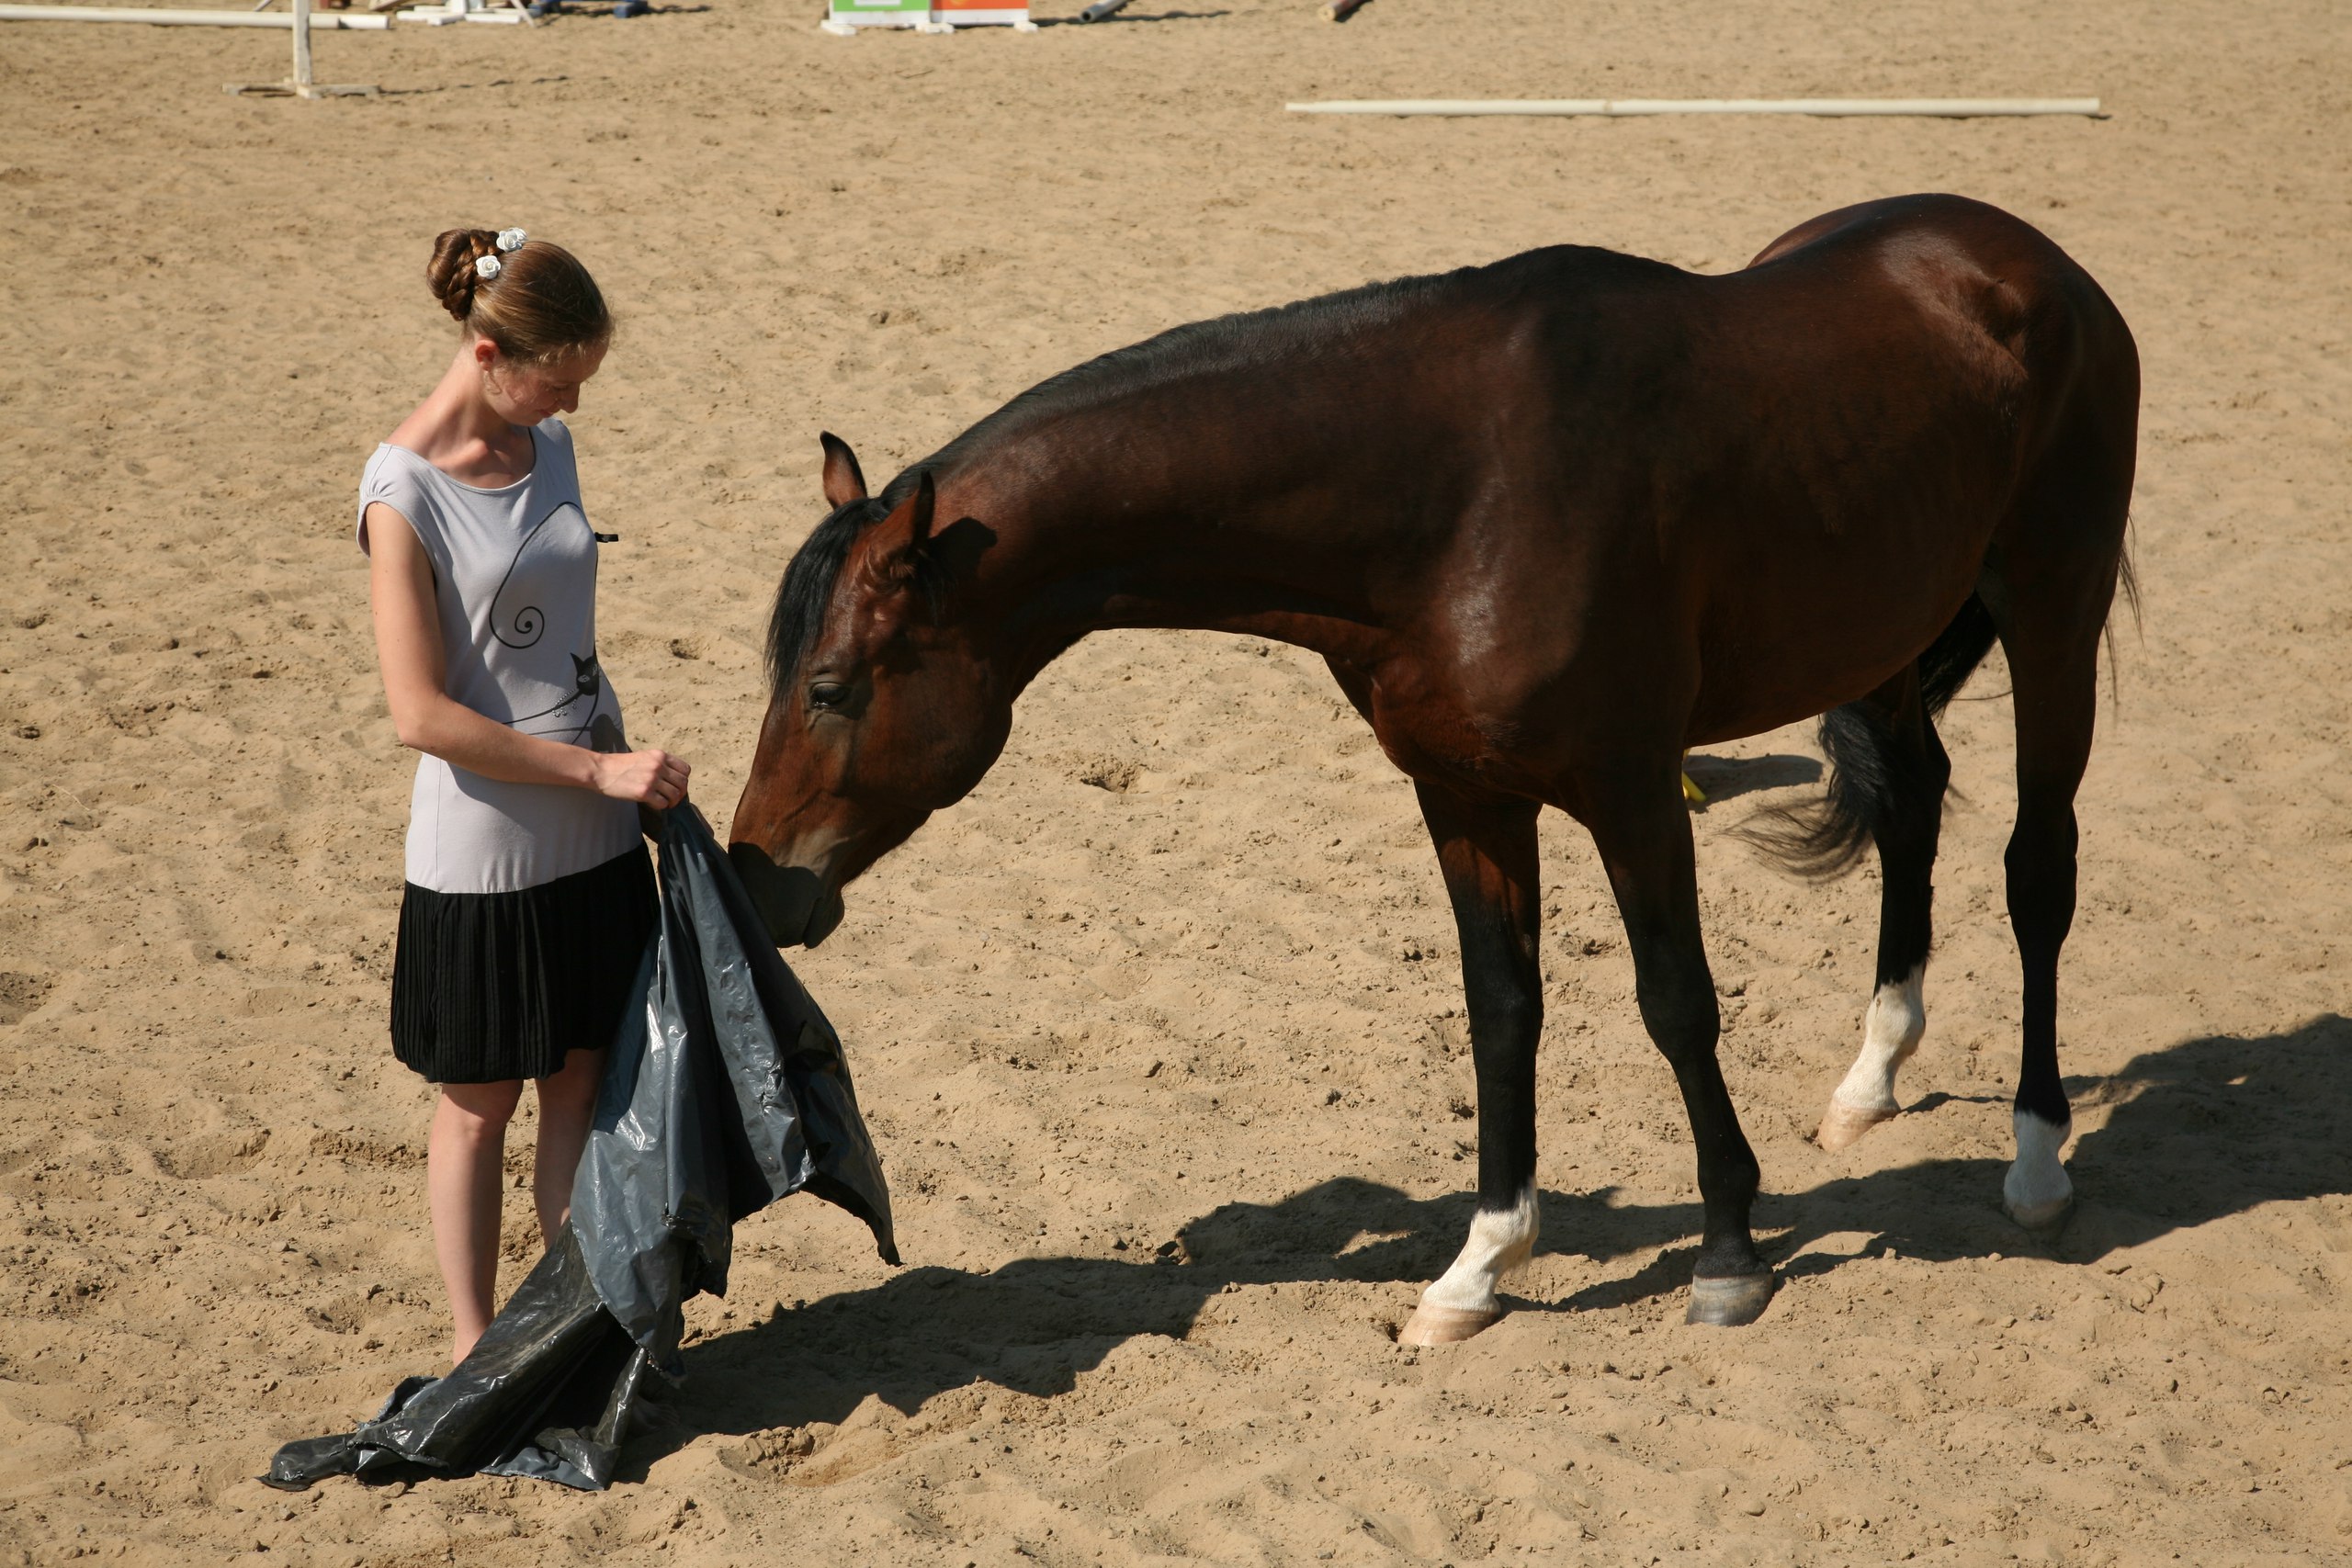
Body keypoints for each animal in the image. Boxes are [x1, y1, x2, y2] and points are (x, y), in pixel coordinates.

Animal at [724, 192, 2144, 1354]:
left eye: (830, 686)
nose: (757, 879)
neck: (1460, 490)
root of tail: (2032, 262)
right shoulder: (1464, 793)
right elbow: (1500, 1007)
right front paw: (1479, 1266)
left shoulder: (1634, 789)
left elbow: (1675, 1001)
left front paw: (1731, 1255)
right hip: (1883, 634)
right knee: (1910, 806)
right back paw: (1871, 1077)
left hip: (2050, 611)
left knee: (2037, 868)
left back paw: (2036, 1159)